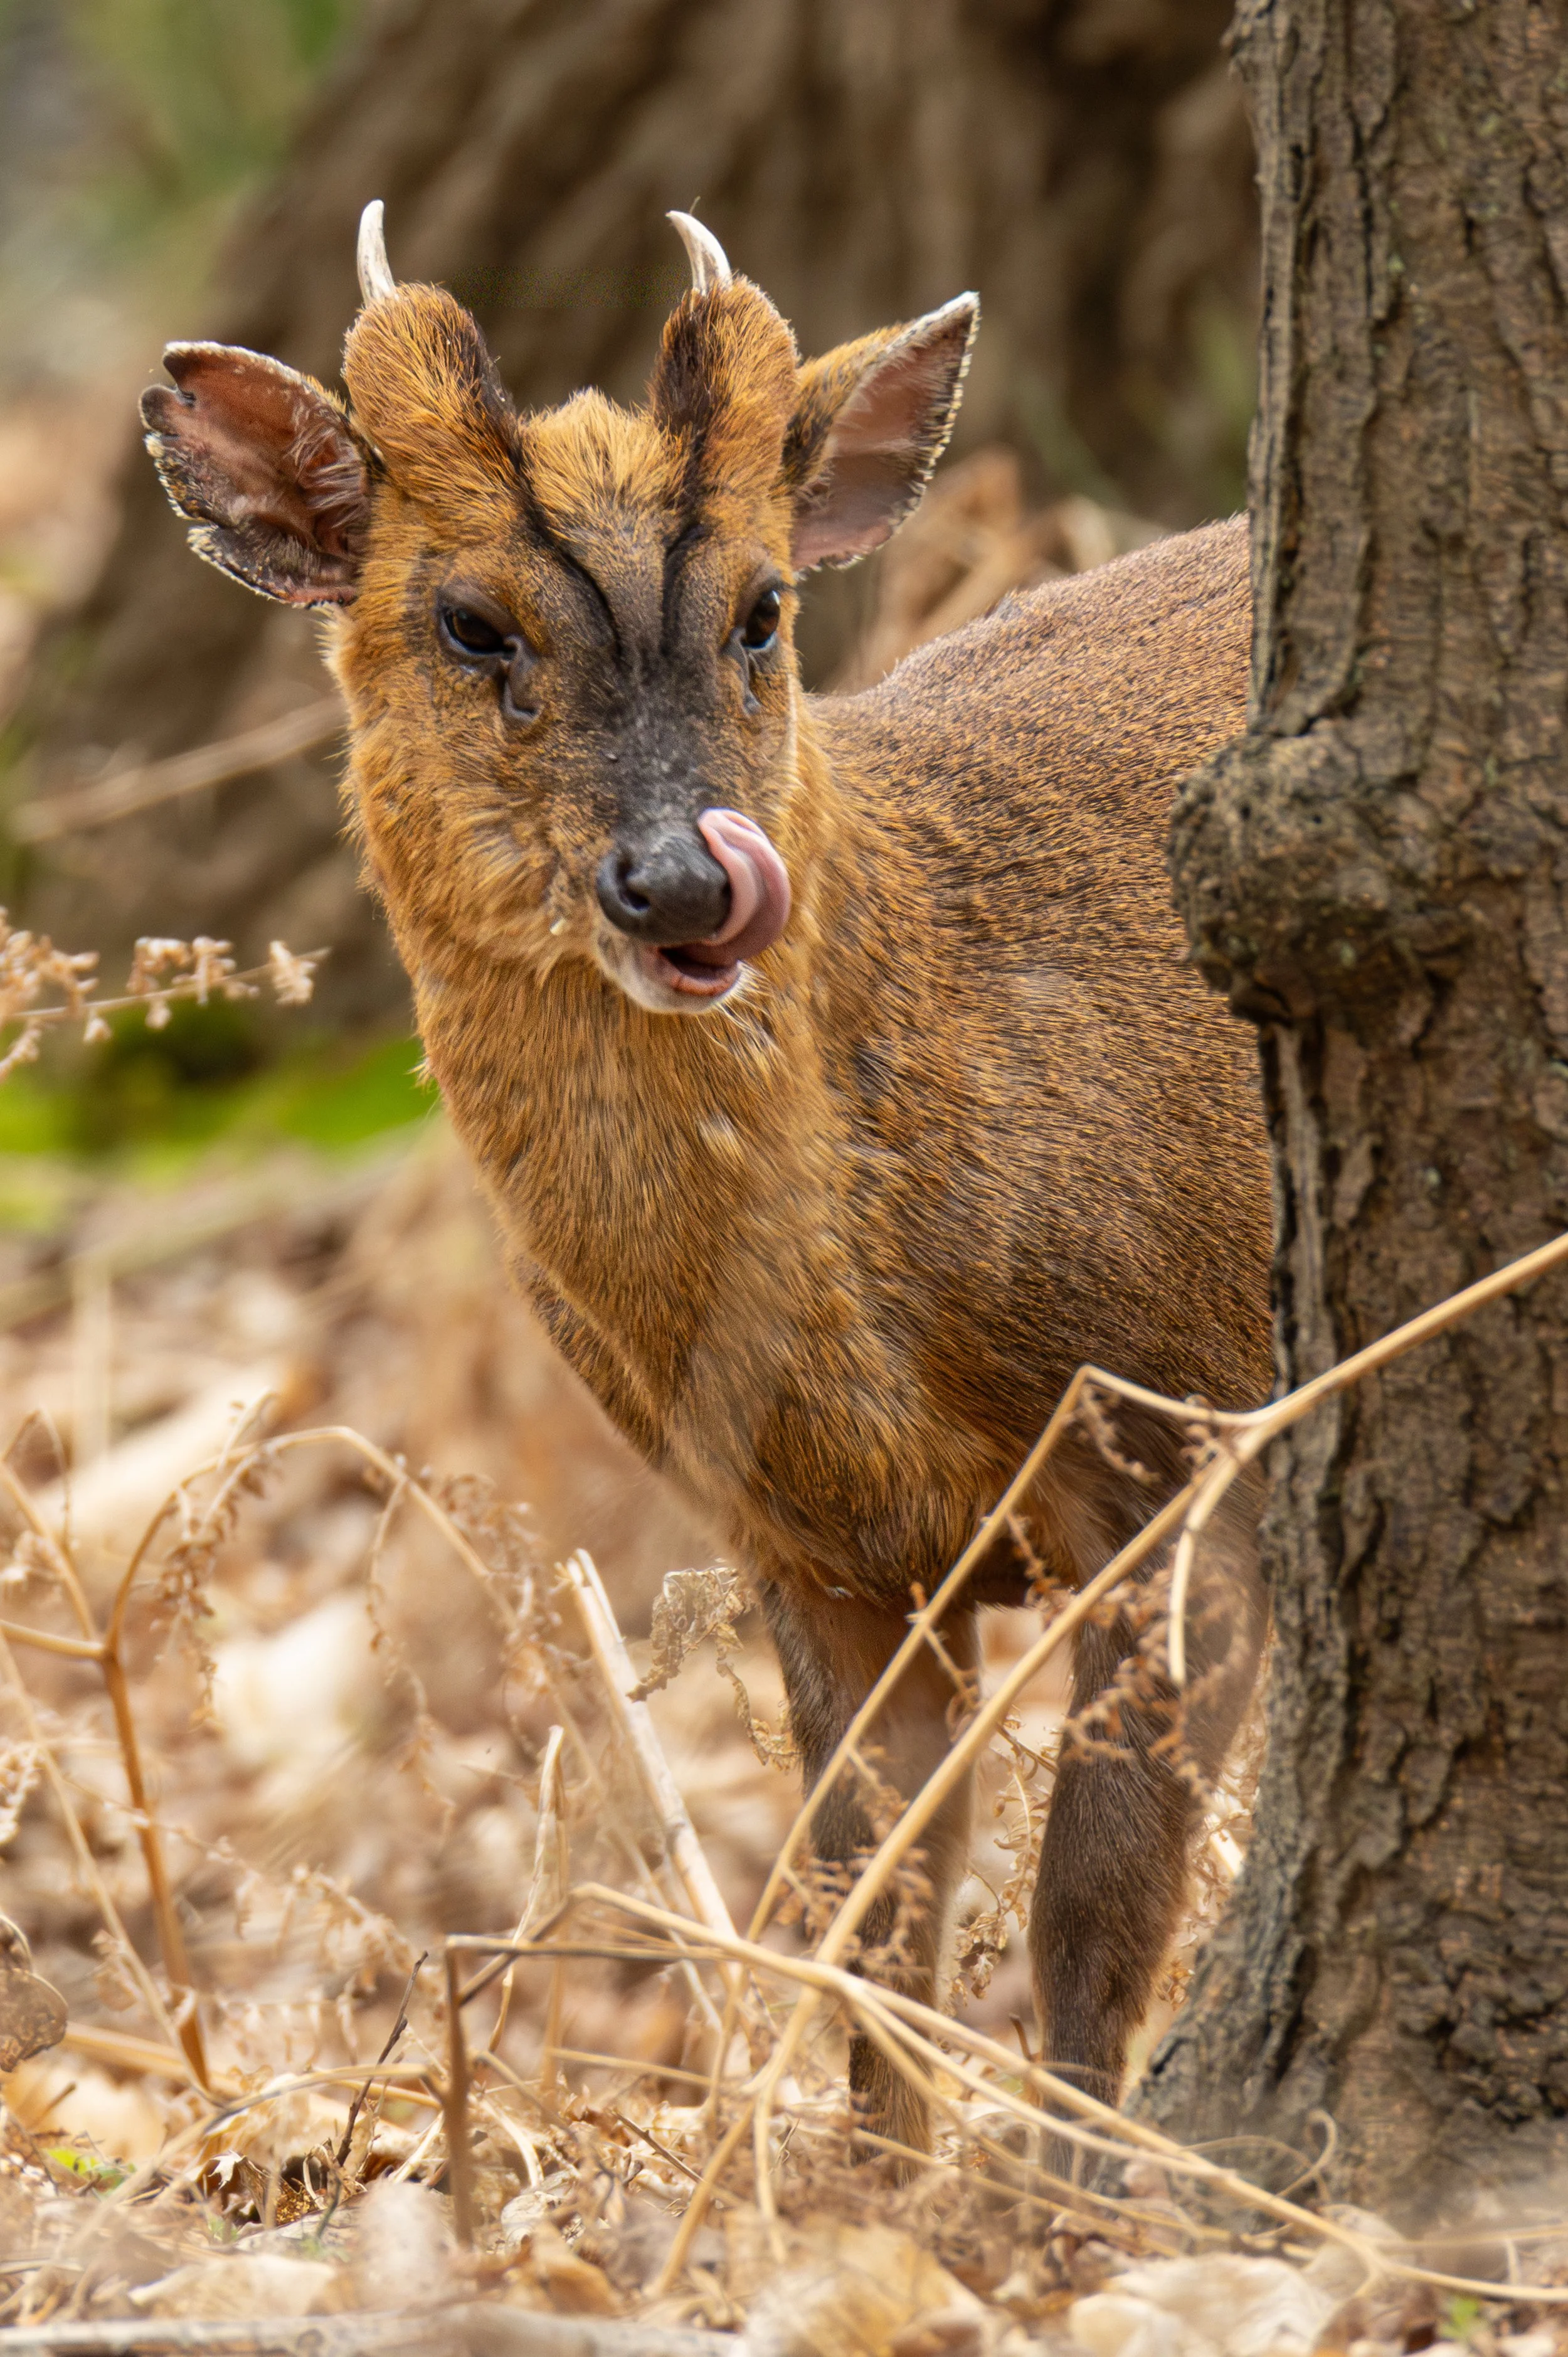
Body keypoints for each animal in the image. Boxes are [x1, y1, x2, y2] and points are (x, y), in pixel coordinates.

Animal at [141, 202, 1272, 2165]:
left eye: (762, 606)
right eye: (468, 620)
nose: (686, 882)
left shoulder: (1182, 1425)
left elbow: (1091, 1892)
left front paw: (1067, 2196)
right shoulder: (801, 1542)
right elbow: (863, 1903)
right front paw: (876, 2185)